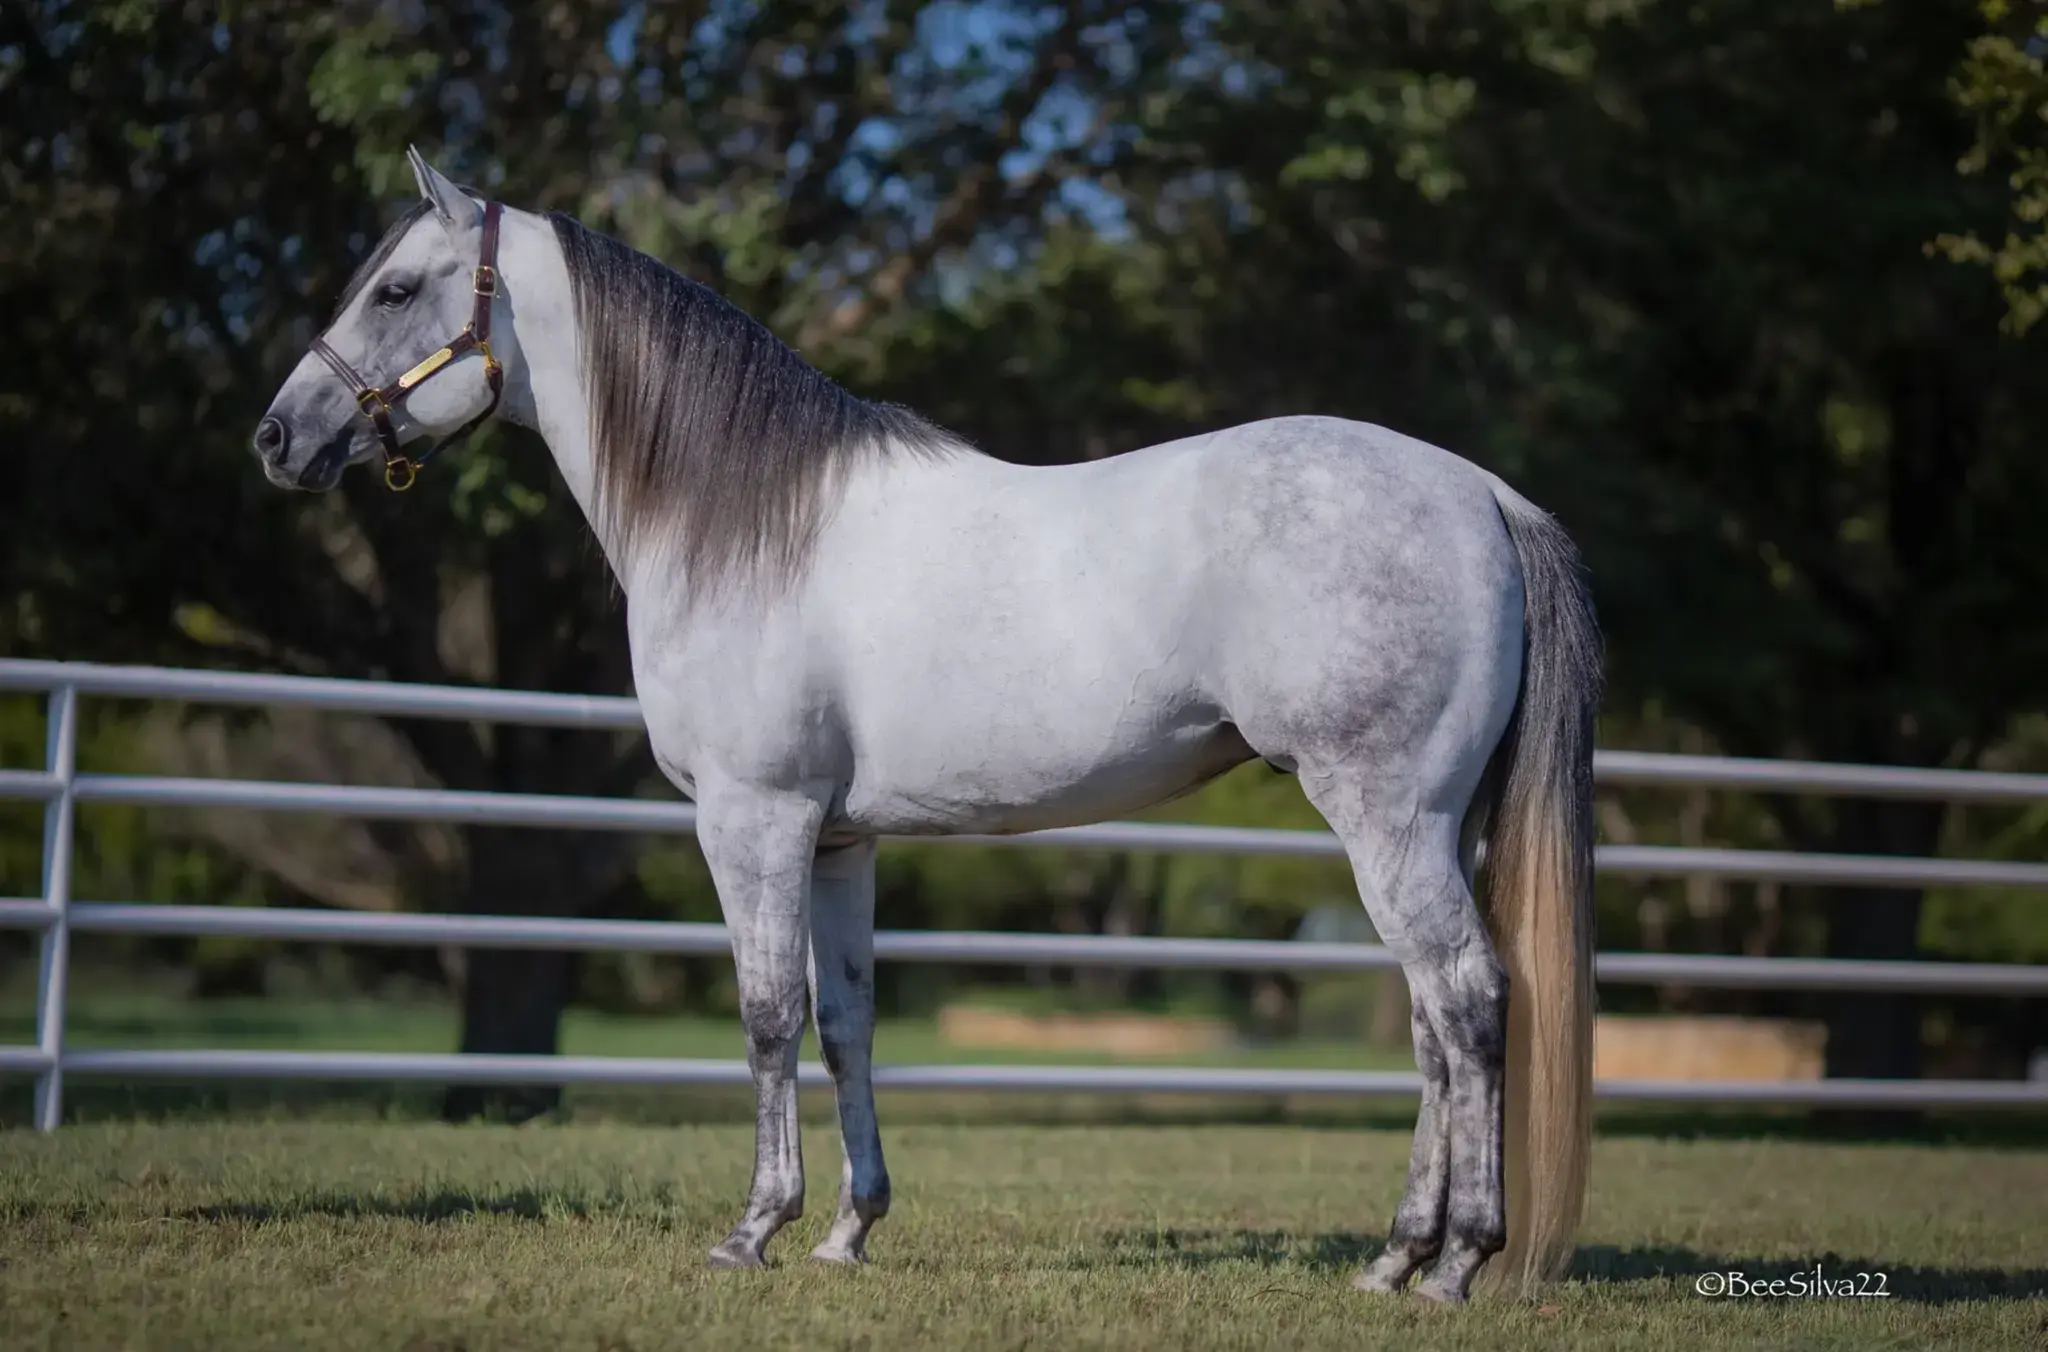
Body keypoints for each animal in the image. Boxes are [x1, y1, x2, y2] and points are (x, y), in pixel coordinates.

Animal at [252, 147, 1601, 1304]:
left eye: (397, 286)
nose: (277, 435)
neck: (743, 521)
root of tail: (1482, 492)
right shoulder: (839, 839)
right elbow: (845, 1023)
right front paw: (848, 1231)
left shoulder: (752, 820)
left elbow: (764, 1016)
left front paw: (752, 1230)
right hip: (1426, 826)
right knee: (1431, 1020)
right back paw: (1392, 1255)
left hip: (1385, 815)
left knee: (1467, 997)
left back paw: (1456, 1261)